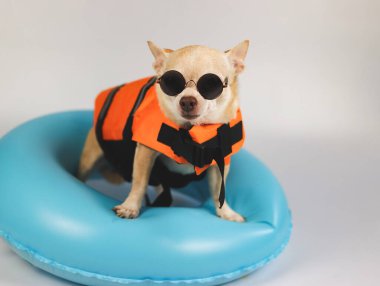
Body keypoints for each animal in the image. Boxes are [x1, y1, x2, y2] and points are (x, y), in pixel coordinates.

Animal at [77, 40, 249, 222]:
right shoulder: (145, 153)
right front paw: (130, 207)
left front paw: (226, 213)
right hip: (89, 157)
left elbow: (218, 191)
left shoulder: (220, 164)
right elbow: (139, 183)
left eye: (211, 85)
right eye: (171, 82)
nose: (187, 101)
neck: (190, 129)